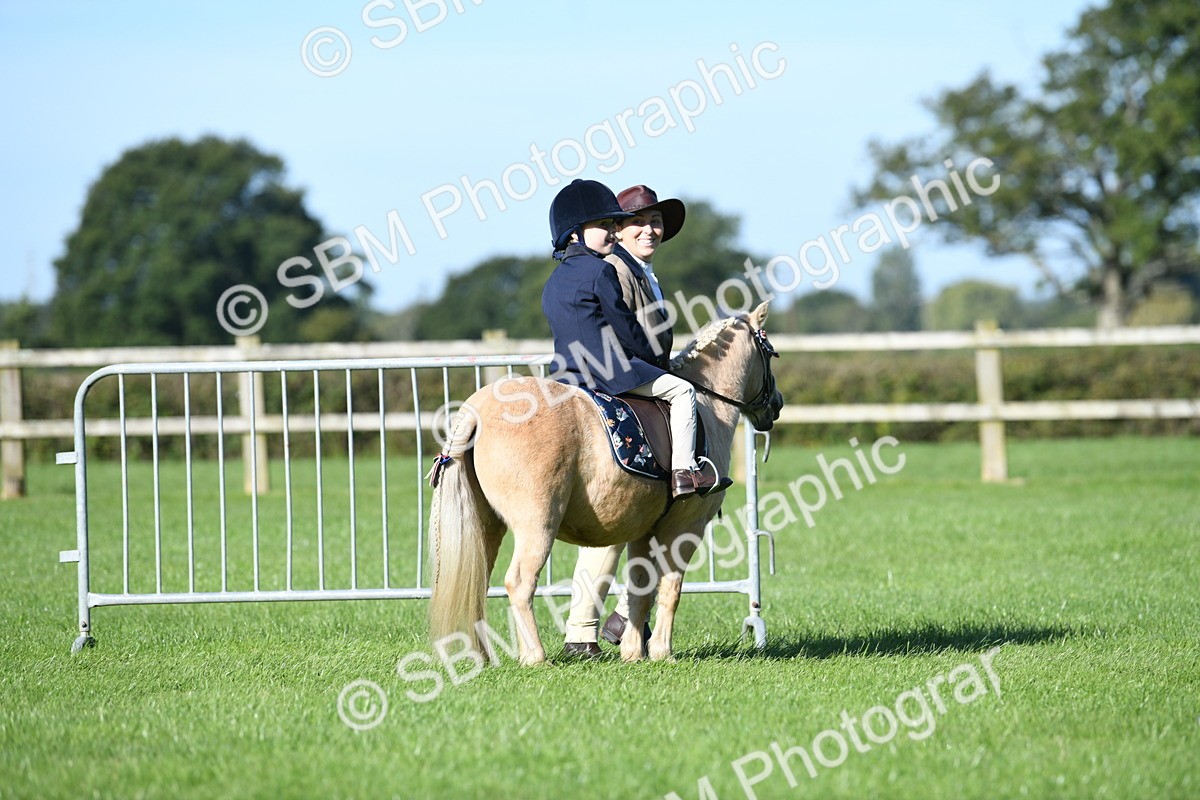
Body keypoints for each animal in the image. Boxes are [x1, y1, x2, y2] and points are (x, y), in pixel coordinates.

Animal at [427, 301, 784, 665]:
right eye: (770, 352)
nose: (776, 405)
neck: (707, 406)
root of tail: (479, 408)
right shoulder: (685, 527)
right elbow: (670, 587)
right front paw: (662, 652)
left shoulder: (644, 530)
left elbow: (641, 587)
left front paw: (633, 652)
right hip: (537, 524)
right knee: (519, 582)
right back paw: (536, 657)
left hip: (488, 525)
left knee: (478, 583)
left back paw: (481, 657)